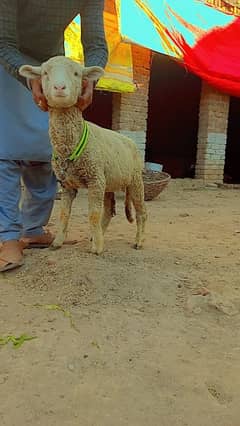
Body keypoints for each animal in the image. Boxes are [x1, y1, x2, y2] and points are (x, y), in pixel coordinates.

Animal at [19, 57, 146, 256]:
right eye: (45, 73)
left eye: (77, 73)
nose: (59, 87)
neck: (70, 146)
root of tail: (129, 141)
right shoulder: (68, 184)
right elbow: (64, 214)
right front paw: (57, 242)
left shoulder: (94, 179)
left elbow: (93, 214)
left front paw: (97, 249)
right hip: (107, 181)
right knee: (108, 211)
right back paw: (97, 235)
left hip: (134, 179)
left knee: (141, 211)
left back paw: (138, 241)